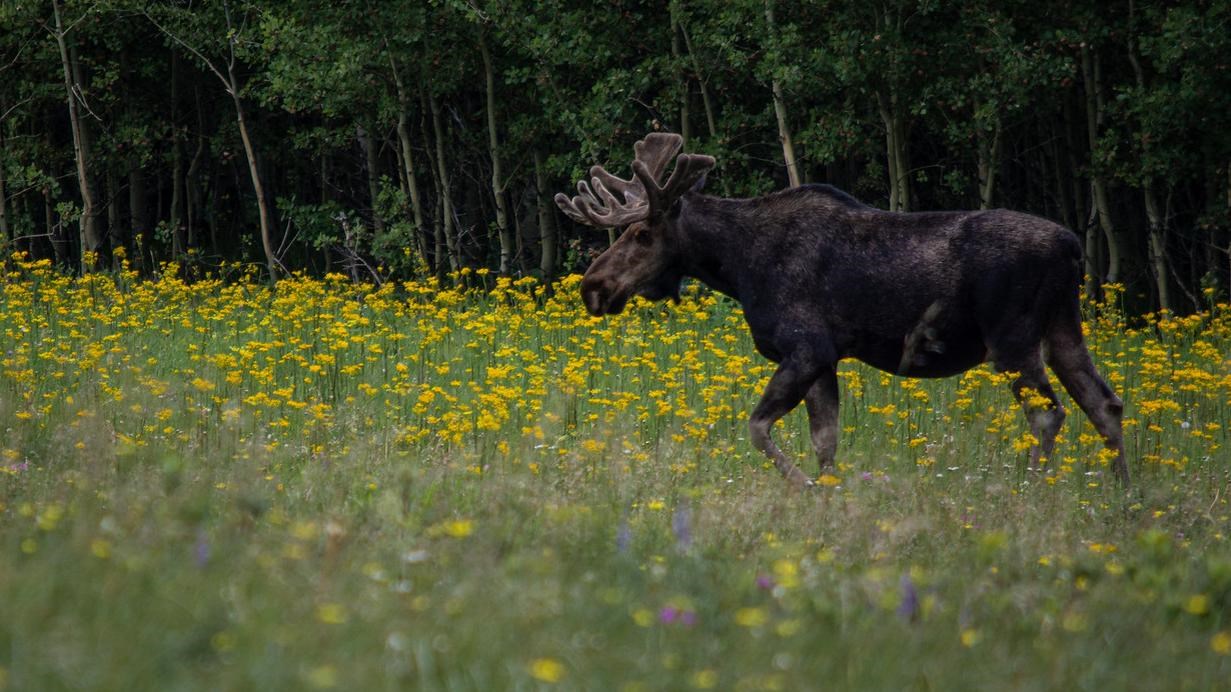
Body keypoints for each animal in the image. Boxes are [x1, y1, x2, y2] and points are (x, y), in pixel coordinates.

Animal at [556, 133, 1129, 488]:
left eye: (641, 233)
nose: (593, 287)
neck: (737, 267)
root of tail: (1072, 247)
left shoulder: (805, 348)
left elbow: (758, 429)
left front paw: (805, 487)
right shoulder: (827, 359)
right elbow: (826, 442)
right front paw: (829, 495)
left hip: (1012, 340)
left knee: (1048, 413)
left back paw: (1027, 491)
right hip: (1063, 330)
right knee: (1105, 403)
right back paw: (1122, 496)